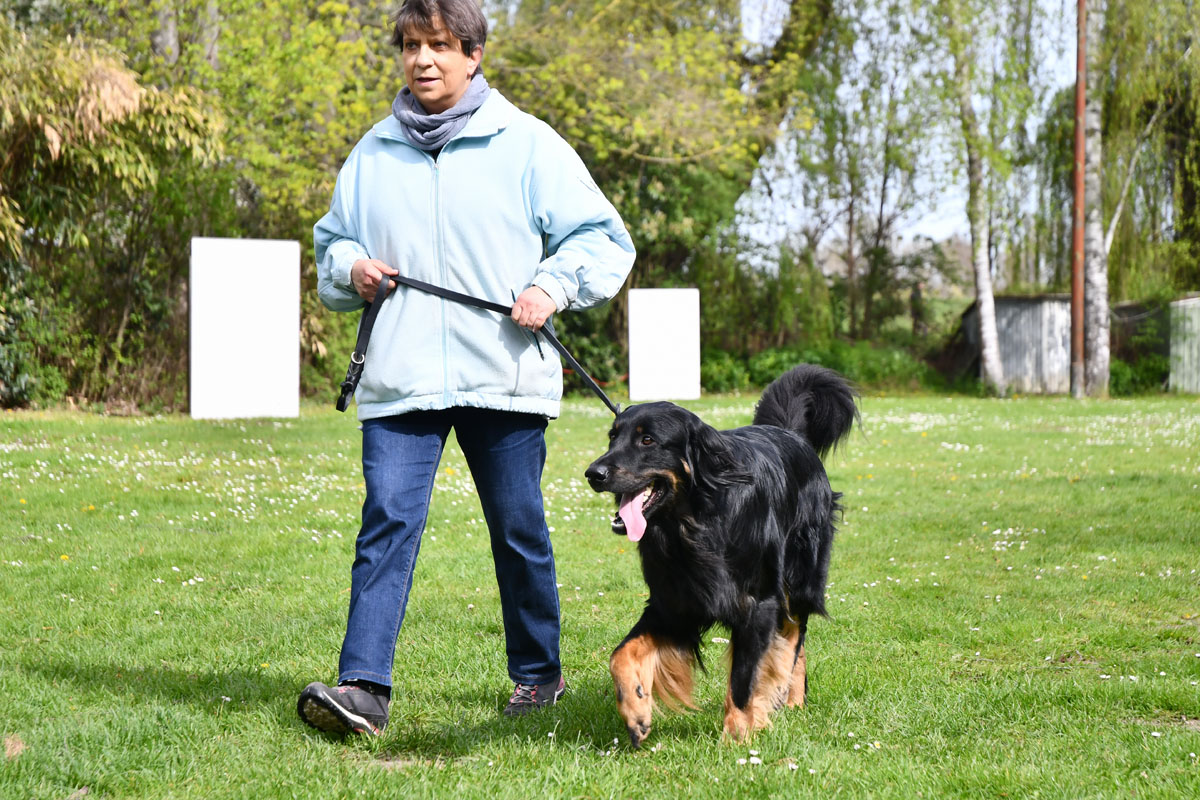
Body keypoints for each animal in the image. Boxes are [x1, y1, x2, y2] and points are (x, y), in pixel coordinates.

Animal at [585, 367, 859, 748]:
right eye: (613, 437)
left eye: (648, 441)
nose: (593, 474)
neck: (695, 523)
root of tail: (789, 433)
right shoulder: (673, 604)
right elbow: (621, 654)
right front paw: (635, 708)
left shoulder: (759, 603)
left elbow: (743, 680)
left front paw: (737, 738)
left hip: (801, 575)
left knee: (794, 637)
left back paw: (791, 697)